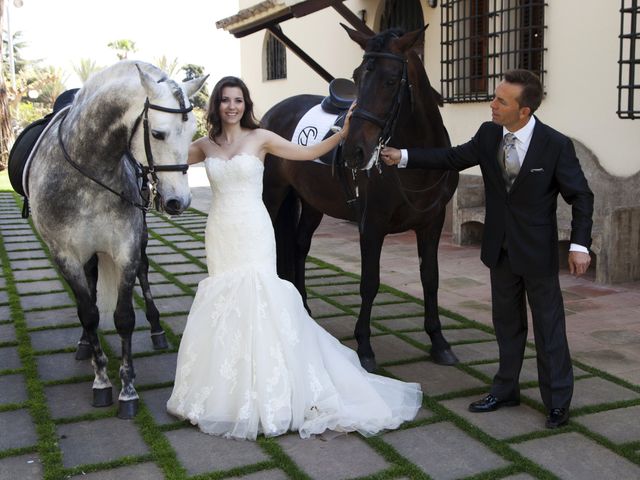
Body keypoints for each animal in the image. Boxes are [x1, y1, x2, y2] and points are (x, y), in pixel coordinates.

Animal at [28, 60, 205, 418]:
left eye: (194, 131)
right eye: (157, 133)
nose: (178, 201)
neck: (87, 170)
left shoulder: (126, 248)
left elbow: (124, 318)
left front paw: (127, 391)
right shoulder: (65, 254)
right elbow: (88, 313)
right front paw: (101, 382)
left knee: (143, 274)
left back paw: (156, 330)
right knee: (90, 290)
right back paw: (85, 343)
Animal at [262, 25, 458, 372]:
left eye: (391, 80)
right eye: (357, 75)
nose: (354, 151)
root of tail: (274, 112)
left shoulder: (431, 224)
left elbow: (431, 279)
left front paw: (439, 342)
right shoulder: (372, 226)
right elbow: (369, 283)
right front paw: (364, 347)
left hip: (311, 203)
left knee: (299, 246)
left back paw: (303, 308)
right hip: (273, 195)